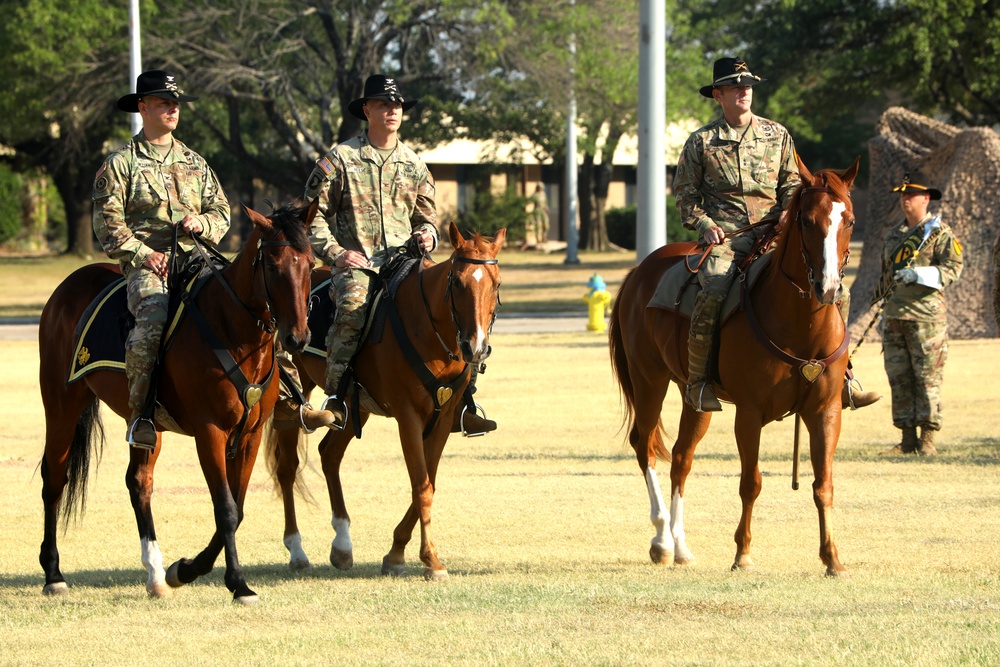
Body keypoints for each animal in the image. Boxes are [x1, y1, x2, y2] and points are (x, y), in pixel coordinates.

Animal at [38, 201, 316, 604]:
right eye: (273, 266)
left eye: (309, 263)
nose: (297, 338)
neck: (232, 330)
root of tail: (70, 284)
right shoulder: (209, 431)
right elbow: (226, 509)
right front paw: (236, 582)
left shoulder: (249, 434)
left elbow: (238, 508)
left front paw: (183, 570)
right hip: (61, 402)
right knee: (55, 477)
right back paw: (53, 573)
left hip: (142, 420)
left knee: (139, 482)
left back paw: (155, 573)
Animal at [266, 223, 504, 580]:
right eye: (458, 282)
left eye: (497, 283)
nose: (475, 346)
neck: (429, 330)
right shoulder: (408, 416)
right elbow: (421, 484)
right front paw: (430, 559)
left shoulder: (443, 417)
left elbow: (429, 482)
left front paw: (397, 552)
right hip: (294, 395)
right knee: (288, 466)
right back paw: (297, 550)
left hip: (356, 407)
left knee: (329, 454)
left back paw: (342, 545)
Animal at [608, 158, 860, 580]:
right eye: (807, 221)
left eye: (850, 221)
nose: (828, 287)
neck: (800, 324)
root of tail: (639, 272)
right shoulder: (750, 413)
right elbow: (750, 483)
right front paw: (742, 554)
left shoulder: (826, 411)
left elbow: (823, 484)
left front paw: (832, 558)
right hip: (648, 380)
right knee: (644, 446)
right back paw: (661, 540)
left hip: (694, 396)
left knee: (681, 458)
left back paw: (680, 545)